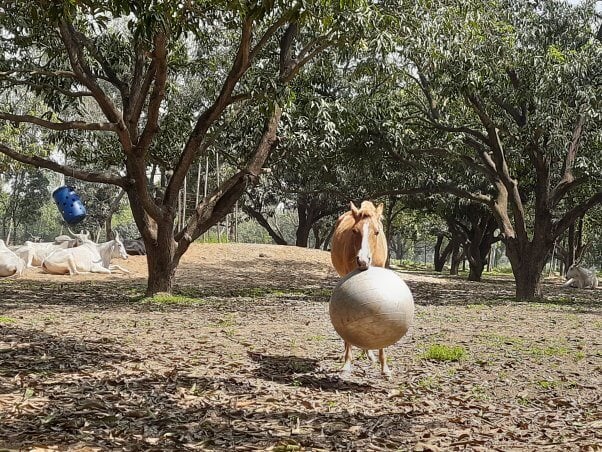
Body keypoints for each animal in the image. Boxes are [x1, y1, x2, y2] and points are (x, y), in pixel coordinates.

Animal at [328, 200, 390, 374]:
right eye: (355, 231)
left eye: (377, 232)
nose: (362, 261)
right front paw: (347, 363)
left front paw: (385, 367)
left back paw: (369, 354)